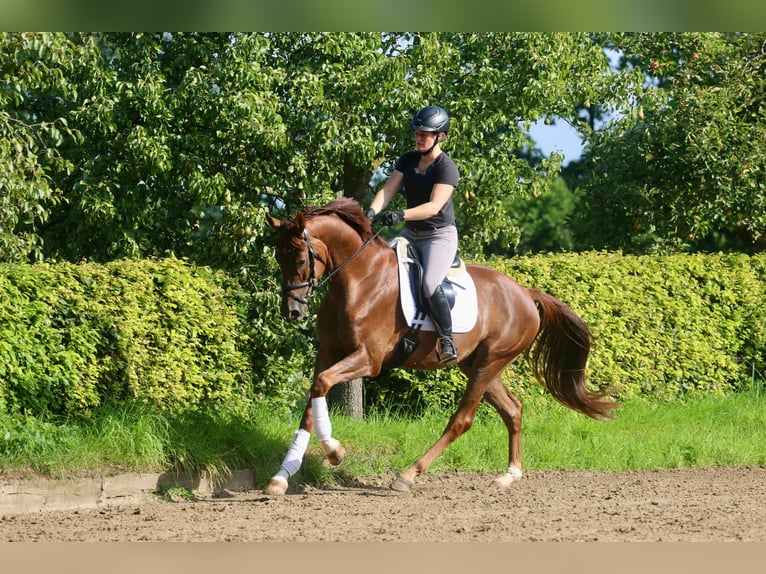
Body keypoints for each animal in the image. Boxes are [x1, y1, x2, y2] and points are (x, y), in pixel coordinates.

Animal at [263, 197, 617, 495]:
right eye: (277, 257)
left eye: (299, 259)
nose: (292, 312)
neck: (359, 279)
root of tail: (525, 293)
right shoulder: (328, 353)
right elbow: (313, 398)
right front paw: (282, 476)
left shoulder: (369, 358)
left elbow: (321, 386)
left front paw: (335, 452)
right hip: (478, 364)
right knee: (513, 410)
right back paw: (509, 474)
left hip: (490, 361)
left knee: (462, 420)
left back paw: (409, 474)